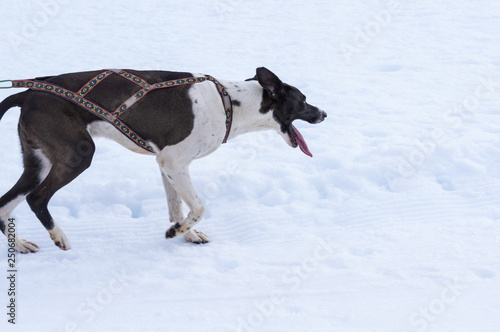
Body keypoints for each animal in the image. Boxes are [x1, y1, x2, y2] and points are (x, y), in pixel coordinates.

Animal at [0, 68, 326, 254]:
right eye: (303, 101)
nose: (323, 113)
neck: (231, 104)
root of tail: (28, 94)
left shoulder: (166, 164)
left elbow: (177, 208)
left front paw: (186, 233)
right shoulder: (173, 161)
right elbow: (198, 207)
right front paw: (177, 232)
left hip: (38, 163)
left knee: (5, 203)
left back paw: (21, 244)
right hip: (77, 154)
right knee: (37, 199)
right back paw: (59, 237)